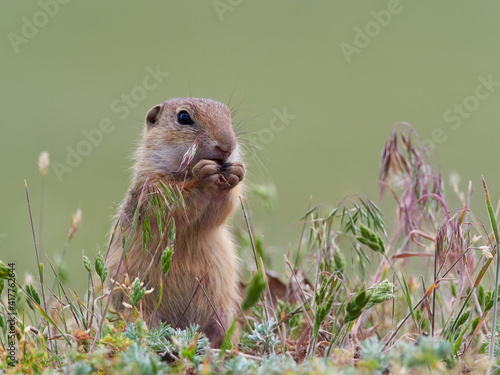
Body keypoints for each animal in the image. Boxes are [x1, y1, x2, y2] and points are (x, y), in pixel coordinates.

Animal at [106, 97, 245, 346]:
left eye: (229, 115)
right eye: (184, 117)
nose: (227, 146)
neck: (184, 172)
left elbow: (218, 212)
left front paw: (236, 172)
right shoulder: (153, 186)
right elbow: (175, 205)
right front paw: (204, 175)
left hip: (224, 317)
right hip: (142, 315)